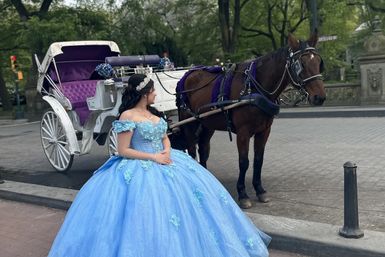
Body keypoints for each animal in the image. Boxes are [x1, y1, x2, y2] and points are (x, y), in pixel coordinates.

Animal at [173, 32, 324, 208]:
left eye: (318, 62)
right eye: (301, 64)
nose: (320, 97)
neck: (255, 87)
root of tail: (187, 74)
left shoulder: (264, 131)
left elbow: (258, 160)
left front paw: (260, 190)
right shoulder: (243, 133)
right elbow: (243, 162)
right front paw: (243, 194)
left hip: (207, 125)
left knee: (203, 151)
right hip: (189, 123)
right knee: (191, 150)